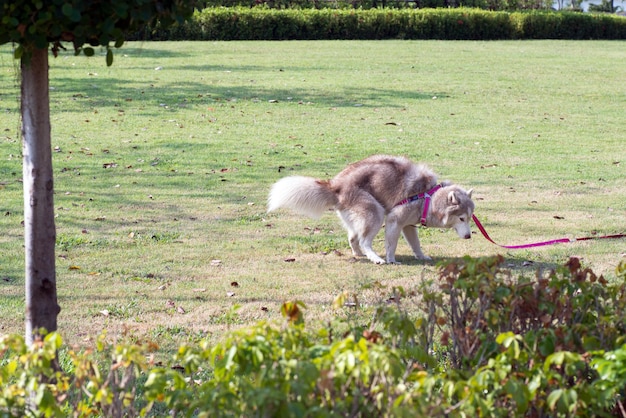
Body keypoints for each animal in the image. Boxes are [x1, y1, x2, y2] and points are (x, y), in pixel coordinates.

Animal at [264, 153, 472, 264]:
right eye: (461, 218)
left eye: (470, 218)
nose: (470, 236)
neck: (428, 196)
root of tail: (336, 185)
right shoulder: (394, 220)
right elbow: (391, 244)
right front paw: (391, 259)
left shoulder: (408, 226)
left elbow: (416, 244)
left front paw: (421, 256)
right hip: (375, 213)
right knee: (364, 241)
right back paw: (375, 258)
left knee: (353, 238)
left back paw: (359, 255)